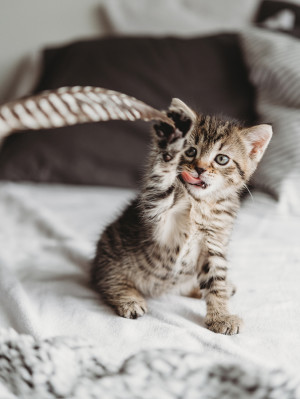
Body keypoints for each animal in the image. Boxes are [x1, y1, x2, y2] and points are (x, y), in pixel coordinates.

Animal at [91, 98, 272, 336]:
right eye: (190, 151)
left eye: (222, 159)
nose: (200, 169)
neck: (200, 203)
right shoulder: (156, 212)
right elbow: (160, 184)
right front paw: (170, 143)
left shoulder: (214, 243)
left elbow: (215, 282)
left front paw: (220, 316)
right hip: (112, 253)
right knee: (108, 281)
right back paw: (129, 299)